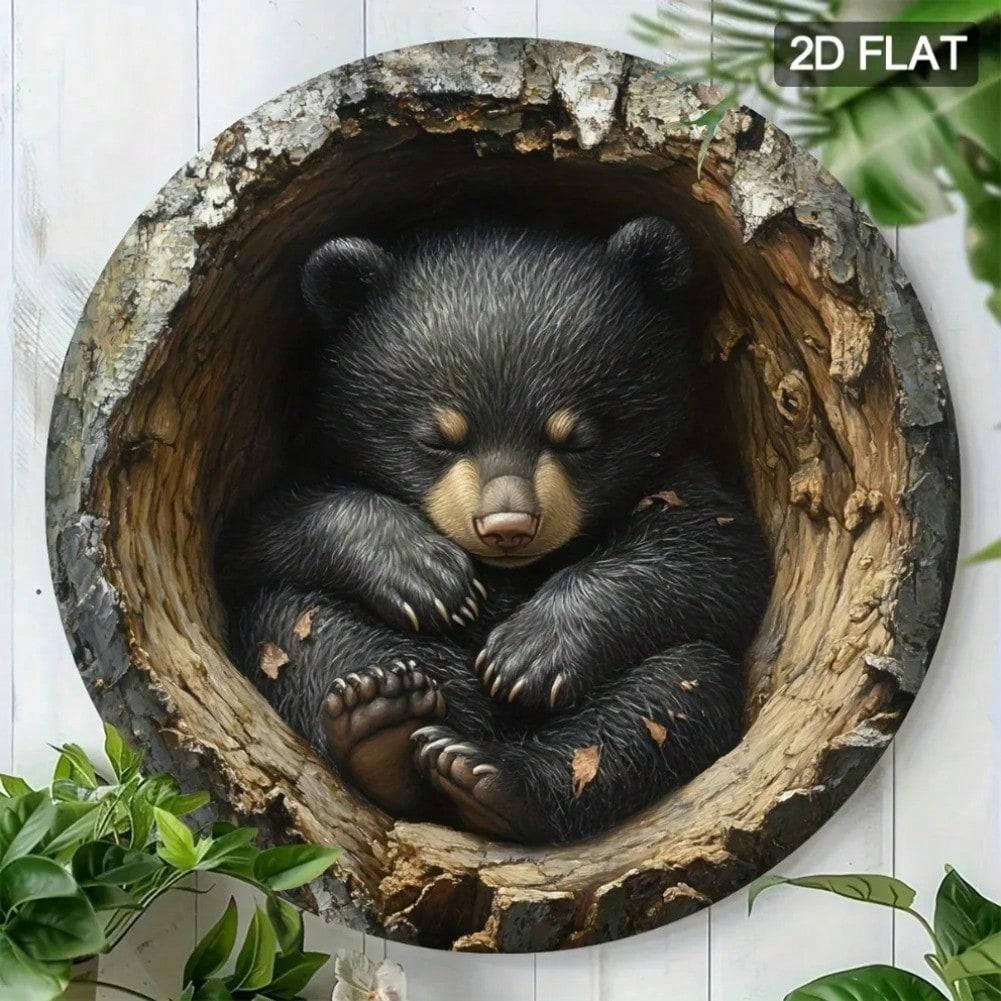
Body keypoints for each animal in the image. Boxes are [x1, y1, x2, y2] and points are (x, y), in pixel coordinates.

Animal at [217, 218, 771, 845]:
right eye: (438, 437)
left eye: (576, 438)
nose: (508, 525)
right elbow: (256, 537)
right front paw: (429, 577)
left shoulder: (681, 474)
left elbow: (717, 552)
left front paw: (525, 653)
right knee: (293, 623)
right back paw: (381, 718)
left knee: (675, 691)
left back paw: (486, 776)